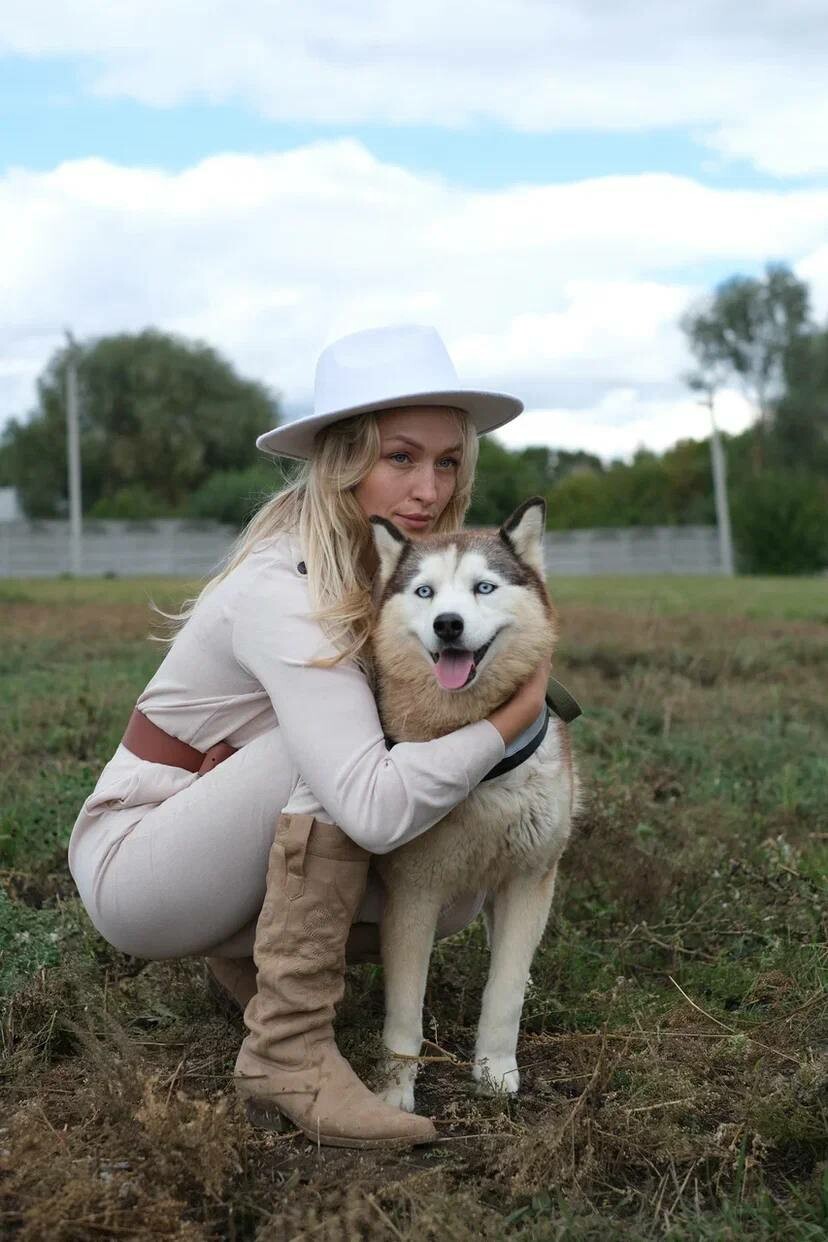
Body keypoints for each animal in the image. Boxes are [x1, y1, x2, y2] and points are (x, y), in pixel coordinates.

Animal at [369, 494, 576, 1117]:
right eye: (425, 592)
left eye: (484, 588)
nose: (448, 624)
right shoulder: (413, 892)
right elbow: (404, 1014)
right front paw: (394, 1094)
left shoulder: (530, 876)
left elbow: (503, 993)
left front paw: (495, 1072)